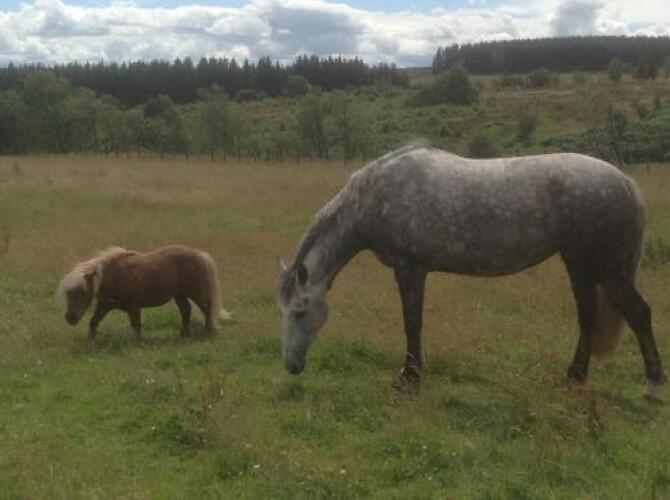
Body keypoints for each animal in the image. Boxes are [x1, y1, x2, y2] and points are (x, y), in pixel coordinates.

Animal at [58, 245, 232, 339]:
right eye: (68, 293)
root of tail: (199, 254)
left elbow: (136, 326)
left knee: (206, 308)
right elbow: (94, 322)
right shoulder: (104, 306)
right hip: (180, 295)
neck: (115, 276)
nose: (70, 318)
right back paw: (184, 334)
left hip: (195, 293)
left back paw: (208, 331)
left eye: (83, 292)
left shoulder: (134, 307)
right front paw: (91, 340)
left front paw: (139, 342)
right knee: (186, 311)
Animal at [278, 143, 667, 400]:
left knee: (639, 313)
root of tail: (624, 181)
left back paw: (653, 385)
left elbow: (412, 323)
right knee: (588, 318)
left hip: (605, 269)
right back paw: (573, 378)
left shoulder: (409, 269)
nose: (291, 367)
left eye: (299, 312)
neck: (377, 198)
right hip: (580, 265)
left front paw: (409, 377)